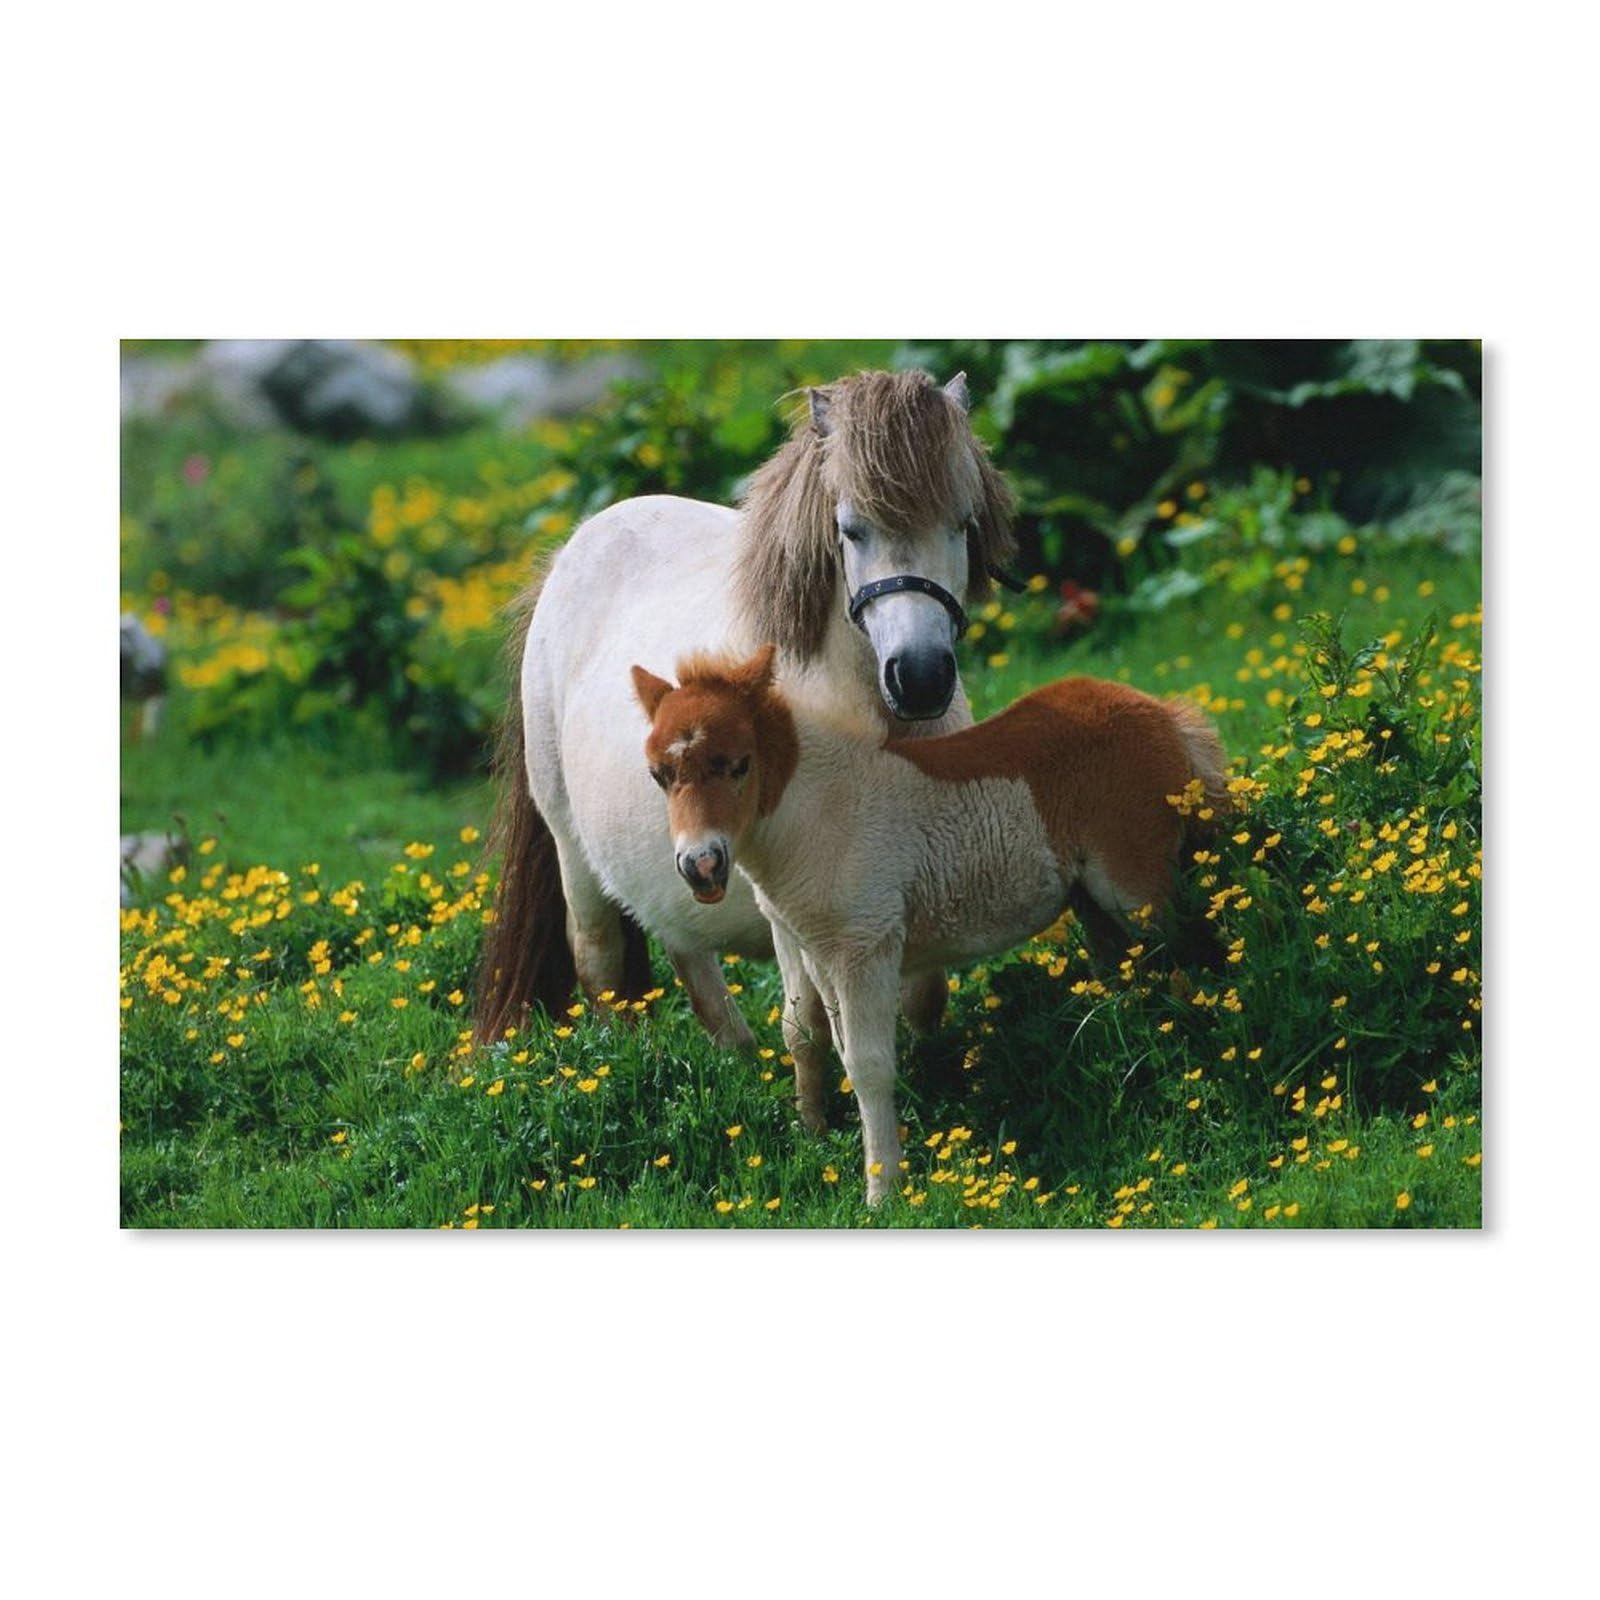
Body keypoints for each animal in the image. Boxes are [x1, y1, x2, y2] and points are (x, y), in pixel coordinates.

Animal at [475, 369, 1017, 1049]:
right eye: (851, 529)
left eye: (963, 523)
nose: (919, 678)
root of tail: (569, 555)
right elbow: (813, 1020)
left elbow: (923, 997)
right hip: (572, 847)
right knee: (599, 957)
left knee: (683, 946)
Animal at [632, 645, 1230, 1205]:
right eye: (659, 777)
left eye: (738, 764)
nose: (700, 865)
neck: (819, 811)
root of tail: (1163, 712)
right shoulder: (819, 953)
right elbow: (827, 1045)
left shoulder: (866, 947)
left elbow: (870, 1065)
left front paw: (883, 1191)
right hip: (1092, 901)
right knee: (1128, 970)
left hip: (1135, 888)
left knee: (1192, 955)